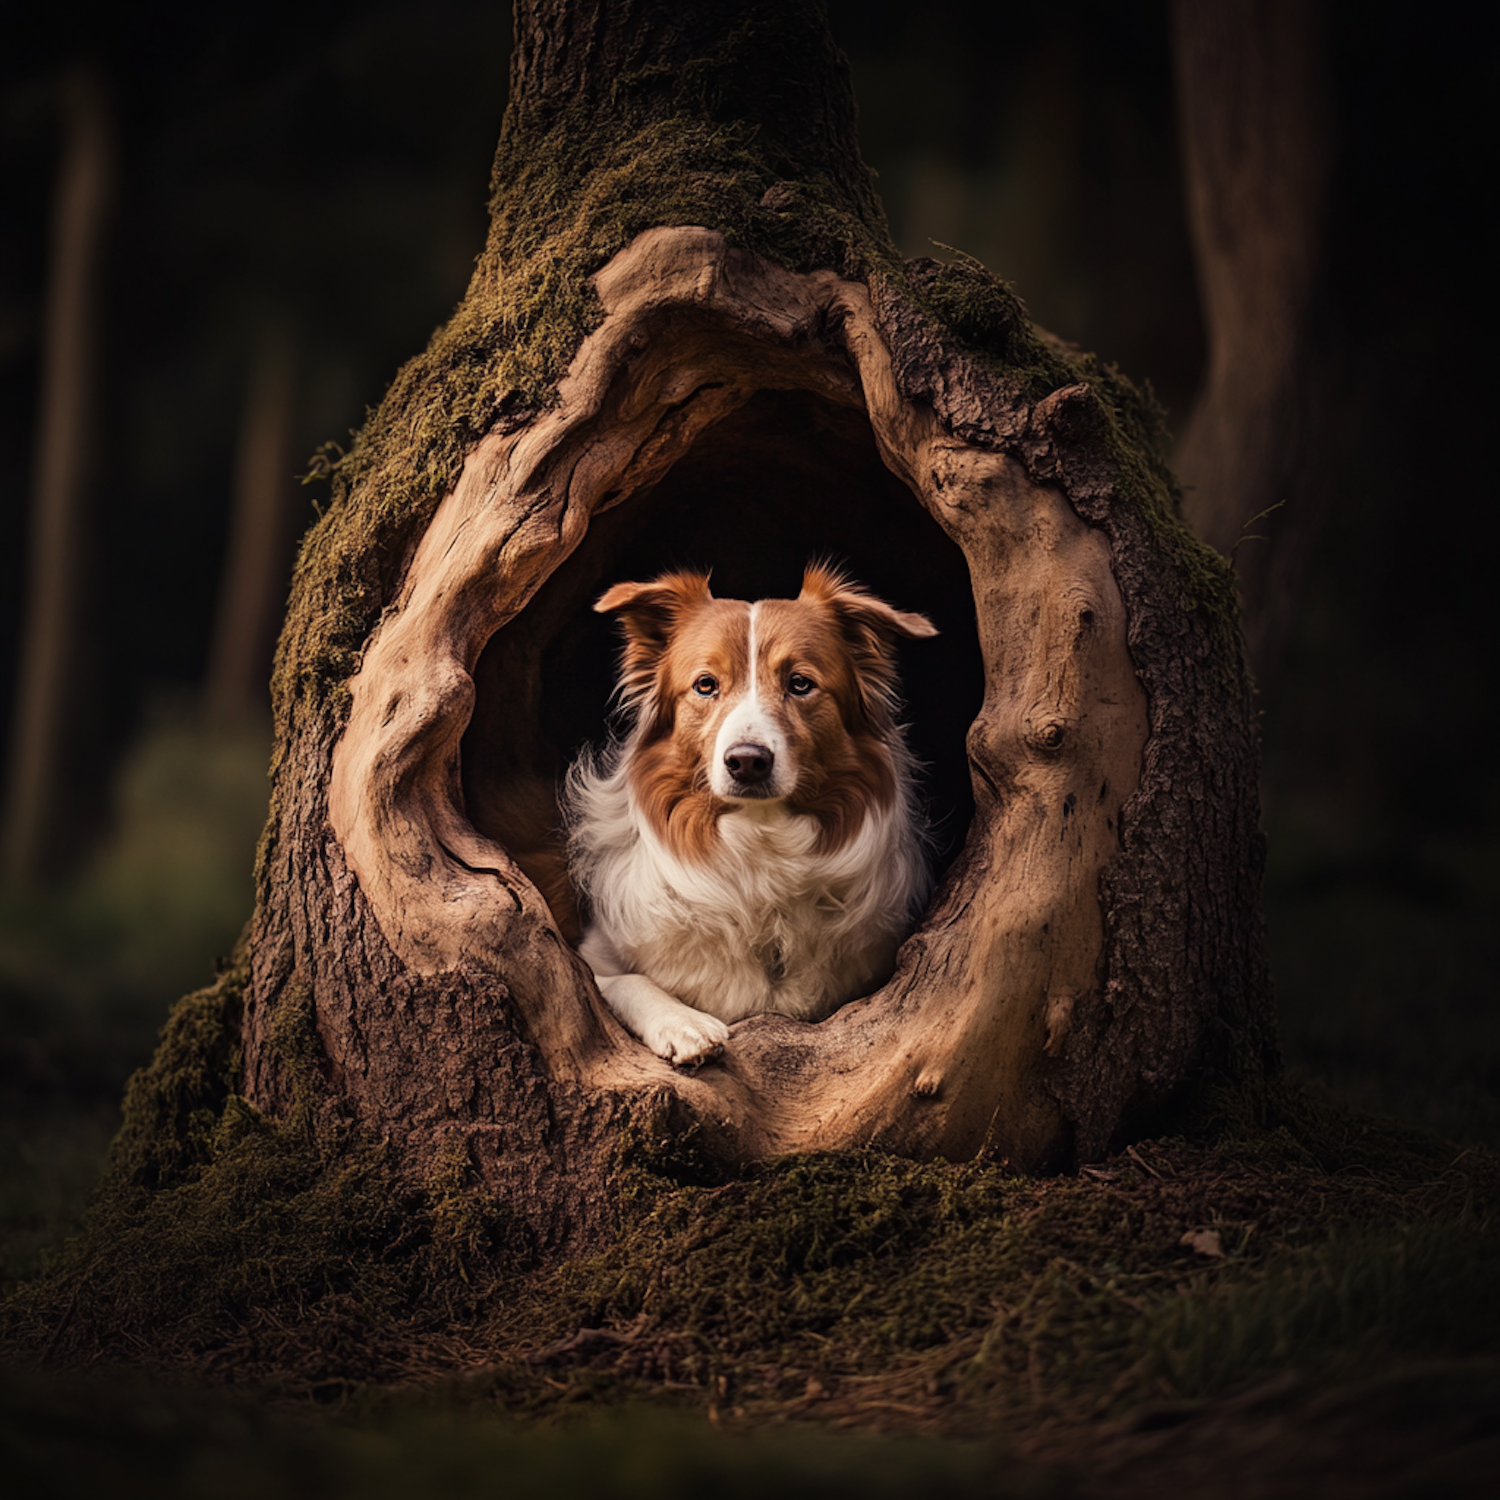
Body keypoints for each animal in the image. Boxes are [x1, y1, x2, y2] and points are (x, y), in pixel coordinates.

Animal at [564, 564, 936, 1068]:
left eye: (800, 684)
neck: (760, 847)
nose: (747, 761)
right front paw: (684, 1023)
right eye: (706, 684)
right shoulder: (593, 952)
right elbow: (620, 980)